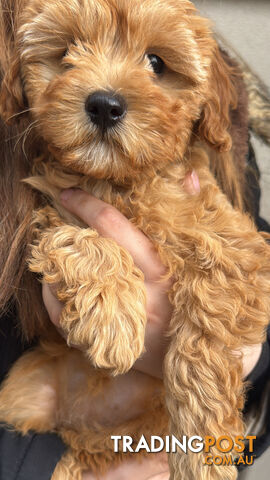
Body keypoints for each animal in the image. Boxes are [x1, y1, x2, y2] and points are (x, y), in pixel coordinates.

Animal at [0, 0, 270, 480]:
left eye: (157, 63)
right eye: (68, 52)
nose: (104, 105)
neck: (122, 182)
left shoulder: (235, 246)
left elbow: (206, 331)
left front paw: (201, 453)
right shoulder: (50, 206)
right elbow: (73, 237)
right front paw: (111, 315)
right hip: (24, 393)